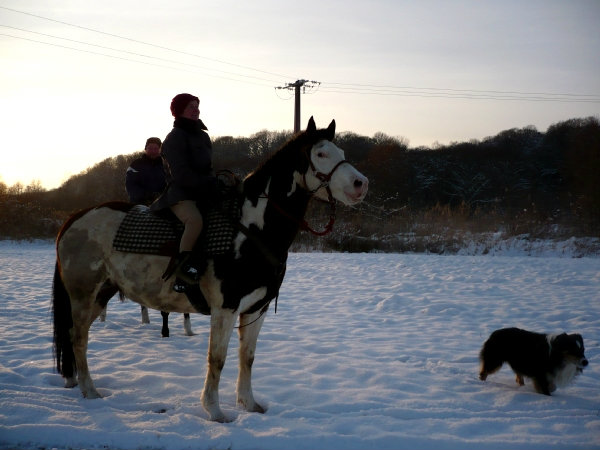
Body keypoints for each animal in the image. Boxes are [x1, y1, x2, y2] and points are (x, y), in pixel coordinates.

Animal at [51, 117, 368, 422]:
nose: (361, 183)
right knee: (78, 338)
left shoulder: (256, 309)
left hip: (100, 294)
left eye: (342, 153)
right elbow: (217, 359)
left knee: (74, 334)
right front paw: (214, 411)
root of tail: (74, 218)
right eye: (321, 153)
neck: (250, 230)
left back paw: (75, 381)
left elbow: (247, 357)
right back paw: (90, 391)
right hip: (83, 295)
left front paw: (249, 404)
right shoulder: (225, 309)